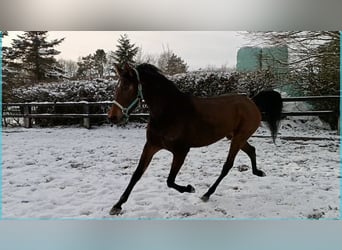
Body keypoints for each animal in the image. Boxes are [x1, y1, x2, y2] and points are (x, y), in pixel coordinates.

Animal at [108, 62, 282, 215]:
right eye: (116, 87)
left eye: (126, 87)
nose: (112, 117)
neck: (169, 112)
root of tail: (252, 102)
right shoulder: (151, 145)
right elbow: (137, 174)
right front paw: (117, 206)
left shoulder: (181, 151)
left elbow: (170, 181)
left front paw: (190, 188)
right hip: (235, 136)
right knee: (251, 150)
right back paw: (258, 172)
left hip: (238, 138)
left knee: (227, 165)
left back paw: (207, 194)